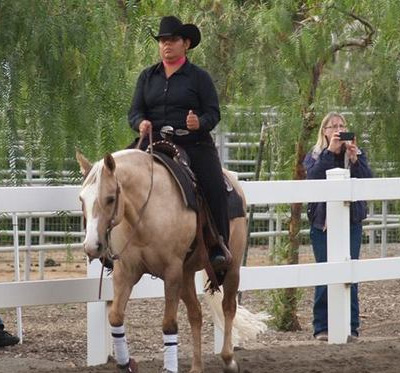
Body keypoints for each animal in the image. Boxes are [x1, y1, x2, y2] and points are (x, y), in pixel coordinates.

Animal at [76, 149, 247, 372]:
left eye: (111, 198)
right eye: (81, 199)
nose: (91, 246)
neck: (146, 210)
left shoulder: (172, 272)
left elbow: (169, 324)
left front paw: (170, 367)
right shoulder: (126, 272)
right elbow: (115, 317)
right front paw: (126, 363)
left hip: (232, 267)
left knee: (228, 307)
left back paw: (228, 359)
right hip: (187, 274)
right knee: (196, 314)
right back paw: (196, 366)